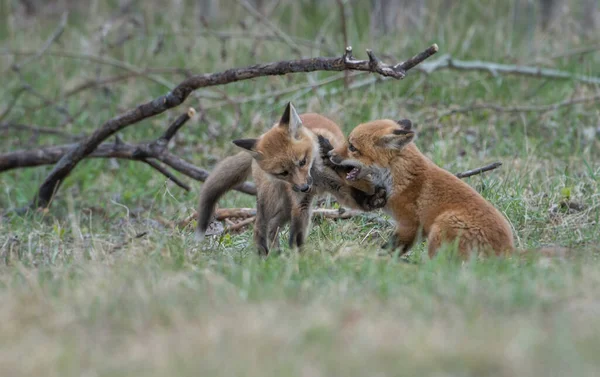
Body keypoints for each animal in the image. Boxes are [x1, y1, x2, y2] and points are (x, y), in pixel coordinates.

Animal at [195, 103, 386, 254]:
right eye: (283, 173)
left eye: (302, 162)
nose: (303, 187)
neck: (317, 178)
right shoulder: (301, 203)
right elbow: (297, 235)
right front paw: (299, 259)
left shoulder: (339, 187)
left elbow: (357, 195)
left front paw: (373, 200)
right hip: (272, 200)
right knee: (260, 227)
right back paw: (263, 257)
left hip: (285, 207)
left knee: (273, 226)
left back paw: (275, 255)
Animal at [326, 117, 540, 258]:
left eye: (352, 147)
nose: (329, 154)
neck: (398, 176)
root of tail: (508, 251)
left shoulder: (409, 224)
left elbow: (392, 248)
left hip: (441, 226)